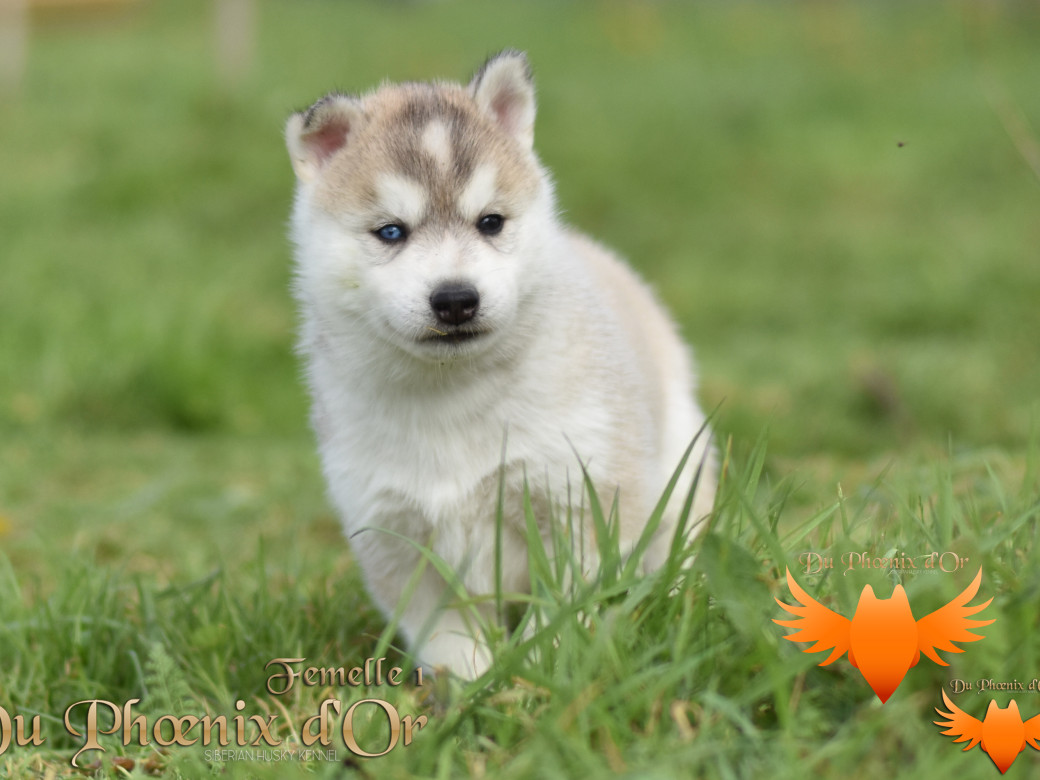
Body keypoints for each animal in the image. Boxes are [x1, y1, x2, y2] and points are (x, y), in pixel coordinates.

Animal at [284, 52, 715, 682]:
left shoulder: (581, 498)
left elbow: (563, 610)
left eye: (490, 222)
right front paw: (473, 688)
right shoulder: (396, 533)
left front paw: (538, 673)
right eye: (390, 231)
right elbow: (450, 639)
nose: (455, 299)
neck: (453, 393)